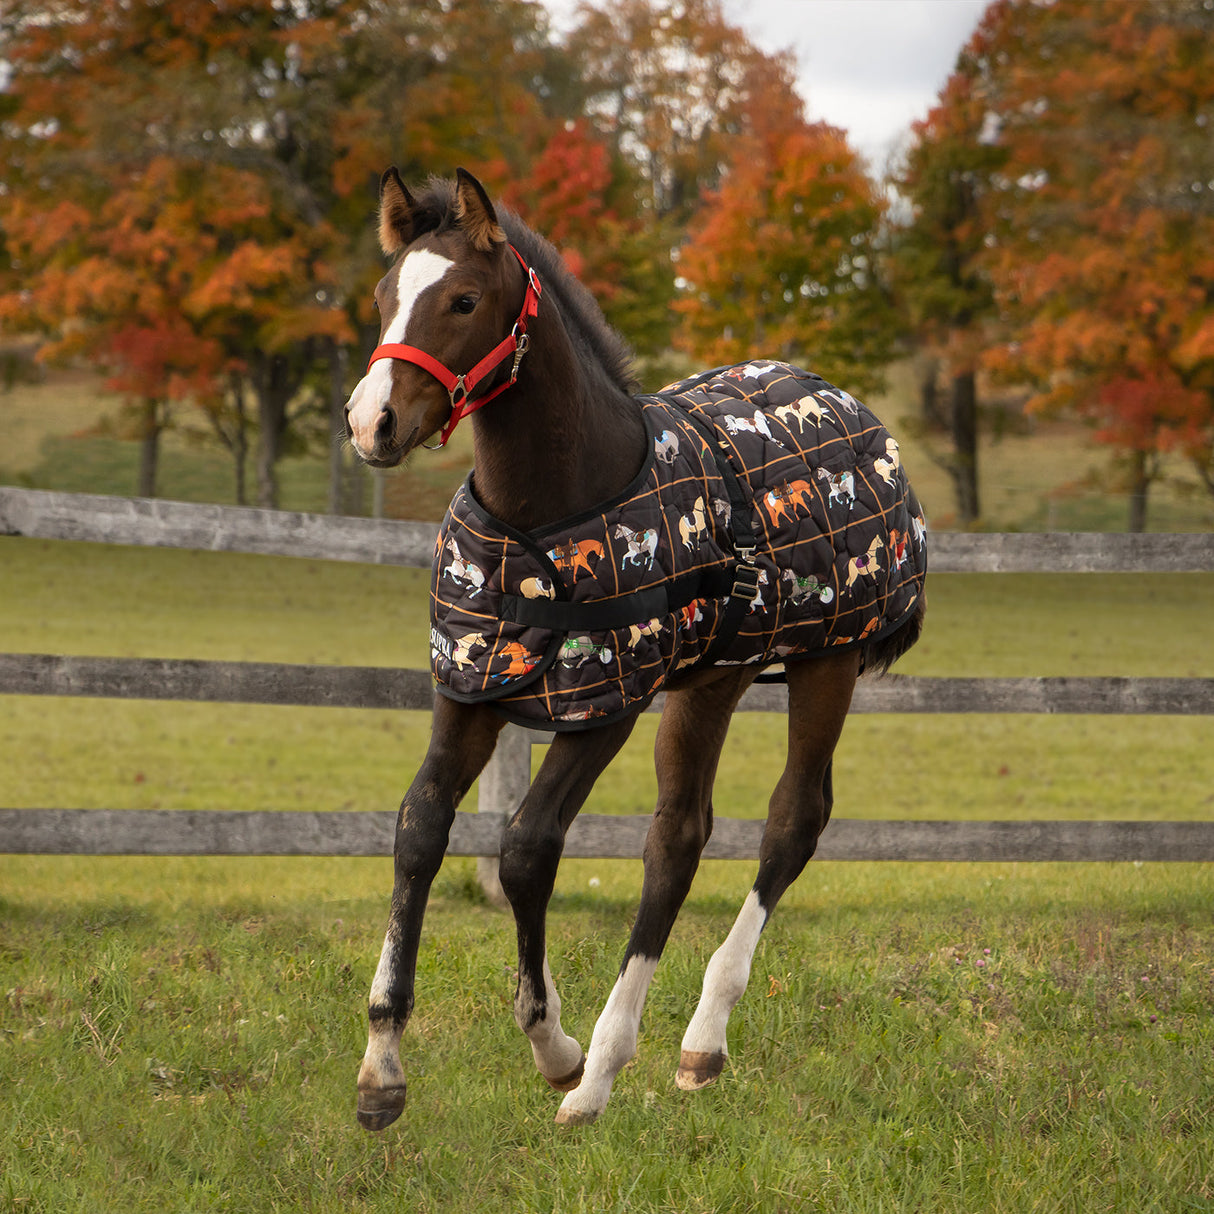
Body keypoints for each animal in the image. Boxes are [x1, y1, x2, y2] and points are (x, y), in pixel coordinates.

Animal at [342, 167, 925, 1130]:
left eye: (463, 300)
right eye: (385, 297)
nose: (372, 422)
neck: (546, 517)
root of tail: (844, 401)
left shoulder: (604, 705)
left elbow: (526, 848)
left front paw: (554, 1045)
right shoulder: (469, 690)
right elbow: (420, 828)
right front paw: (382, 1067)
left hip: (825, 662)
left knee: (790, 822)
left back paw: (654, 1055)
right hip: (713, 680)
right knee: (678, 838)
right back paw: (639, 1056)